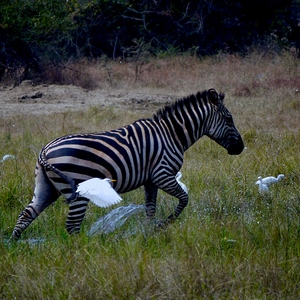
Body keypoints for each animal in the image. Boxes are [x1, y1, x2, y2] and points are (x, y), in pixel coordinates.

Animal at [11, 88, 244, 239]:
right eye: (229, 119)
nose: (241, 148)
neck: (172, 134)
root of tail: (45, 151)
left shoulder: (150, 180)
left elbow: (151, 208)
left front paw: (149, 234)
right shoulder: (162, 173)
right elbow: (184, 199)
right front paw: (164, 225)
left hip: (46, 187)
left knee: (27, 214)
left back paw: (14, 245)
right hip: (78, 188)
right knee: (72, 226)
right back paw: (83, 252)